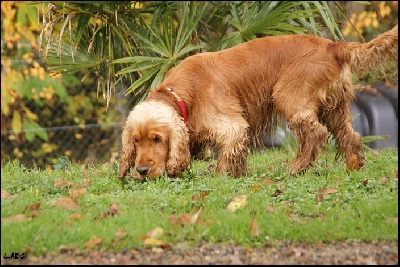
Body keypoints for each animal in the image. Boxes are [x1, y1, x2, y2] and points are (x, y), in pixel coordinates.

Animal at [118, 25, 396, 180]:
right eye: (136, 141)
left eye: (157, 139)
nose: (141, 171)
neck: (182, 92)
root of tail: (334, 46)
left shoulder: (233, 126)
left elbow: (228, 152)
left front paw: (220, 177)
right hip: (335, 107)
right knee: (350, 136)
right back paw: (354, 167)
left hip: (286, 94)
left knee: (315, 132)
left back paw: (296, 168)